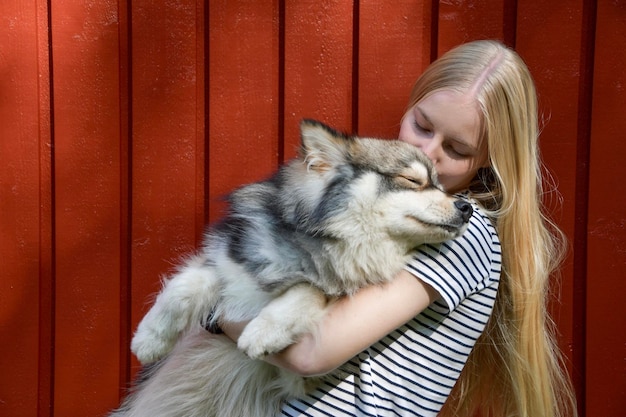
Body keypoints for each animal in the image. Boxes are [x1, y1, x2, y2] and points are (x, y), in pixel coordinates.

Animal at [112, 118, 470, 414]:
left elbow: (308, 289)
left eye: (440, 185)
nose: (466, 206)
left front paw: (263, 331)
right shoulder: (229, 259)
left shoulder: (305, 372)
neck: (326, 244)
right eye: (413, 180)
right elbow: (186, 286)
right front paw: (149, 339)